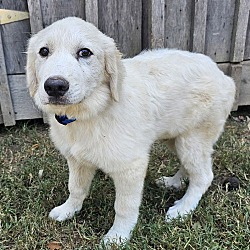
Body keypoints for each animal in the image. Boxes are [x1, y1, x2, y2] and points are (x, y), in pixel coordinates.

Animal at [26, 17, 235, 244]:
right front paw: (68, 210)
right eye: (44, 51)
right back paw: (173, 182)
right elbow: (76, 188)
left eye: (85, 52)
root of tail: (225, 76)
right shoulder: (77, 160)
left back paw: (183, 209)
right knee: (190, 167)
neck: (92, 111)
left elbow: (124, 206)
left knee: (203, 176)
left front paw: (117, 236)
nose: (55, 86)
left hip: (194, 138)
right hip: (176, 136)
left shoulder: (130, 167)